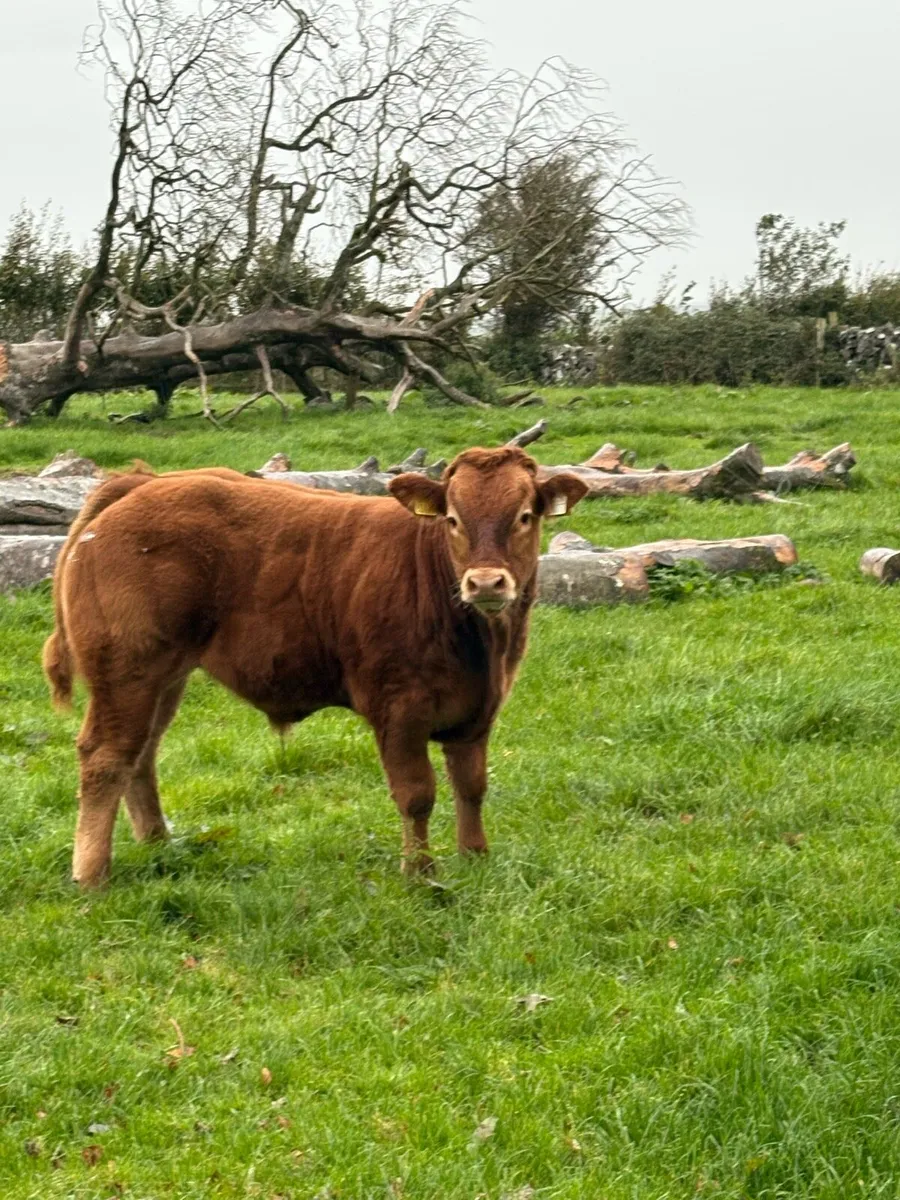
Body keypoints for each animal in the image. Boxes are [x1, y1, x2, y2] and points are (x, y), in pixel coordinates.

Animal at [43, 447, 588, 888]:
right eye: (453, 519)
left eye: (524, 516)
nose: (486, 582)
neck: (481, 644)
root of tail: (143, 484)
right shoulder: (398, 708)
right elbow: (417, 794)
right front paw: (420, 873)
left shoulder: (478, 709)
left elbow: (471, 787)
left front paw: (475, 859)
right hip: (127, 669)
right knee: (107, 756)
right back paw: (91, 875)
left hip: (166, 674)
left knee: (142, 753)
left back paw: (158, 841)